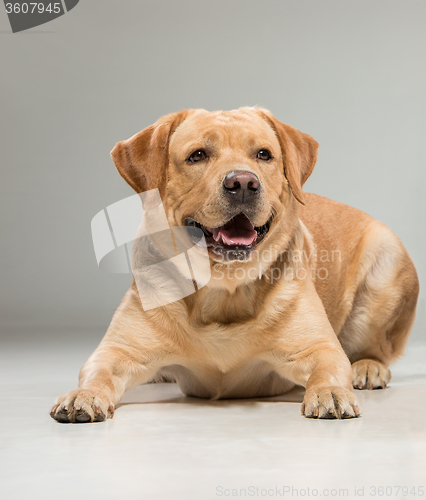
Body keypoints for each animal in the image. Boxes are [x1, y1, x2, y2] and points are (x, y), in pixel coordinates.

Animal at [50, 106, 420, 422]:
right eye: (198, 155)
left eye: (264, 154)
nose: (243, 182)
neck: (221, 290)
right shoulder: (116, 351)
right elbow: (97, 372)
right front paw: (84, 394)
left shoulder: (319, 347)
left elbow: (328, 367)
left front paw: (329, 391)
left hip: (384, 263)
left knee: (376, 348)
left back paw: (368, 367)